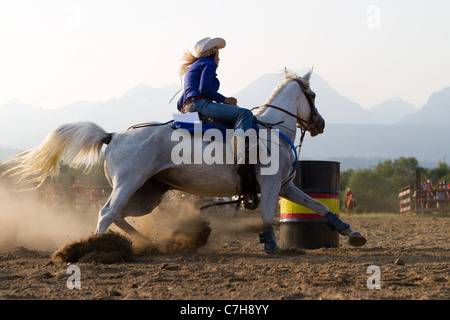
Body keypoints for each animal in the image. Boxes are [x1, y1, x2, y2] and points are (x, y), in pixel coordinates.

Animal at [6, 69, 366, 252]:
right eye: (313, 95)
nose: (320, 123)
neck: (271, 129)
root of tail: (113, 135)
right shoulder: (270, 183)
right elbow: (266, 217)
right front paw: (273, 246)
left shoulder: (286, 186)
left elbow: (317, 206)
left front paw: (352, 234)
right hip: (128, 183)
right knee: (106, 213)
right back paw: (100, 248)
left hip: (148, 194)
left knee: (119, 216)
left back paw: (148, 243)